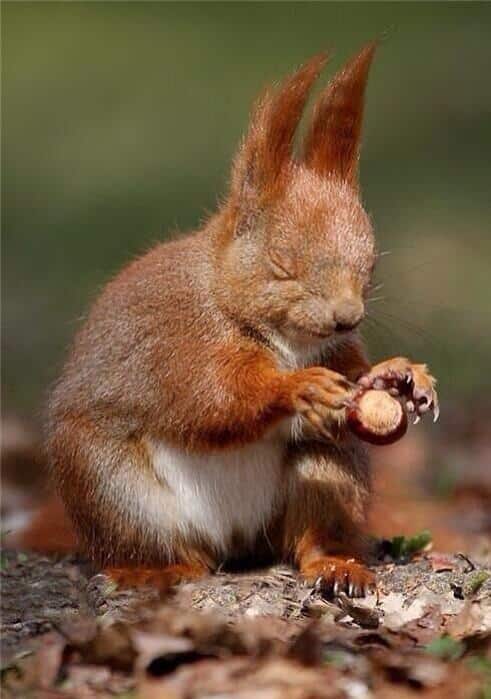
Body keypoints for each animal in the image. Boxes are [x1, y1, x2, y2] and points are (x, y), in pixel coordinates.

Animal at [45, 43, 438, 596]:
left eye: (371, 263)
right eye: (281, 264)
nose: (348, 316)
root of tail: (233, 543)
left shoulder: (337, 350)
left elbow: (356, 372)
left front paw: (399, 374)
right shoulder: (180, 340)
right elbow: (213, 398)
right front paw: (295, 388)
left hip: (328, 473)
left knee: (313, 530)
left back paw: (336, 565)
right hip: (110, 485)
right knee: (151, 543)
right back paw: (153, 569)